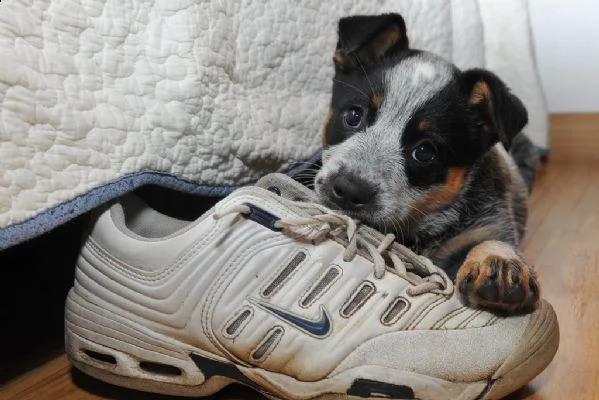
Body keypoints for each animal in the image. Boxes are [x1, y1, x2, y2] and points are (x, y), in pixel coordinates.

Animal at [316, 14, 540, 314]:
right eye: (353, 115)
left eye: (424, 152)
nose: (350, 190)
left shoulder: (488, 224)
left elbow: (492, 241)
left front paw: (500, 264)